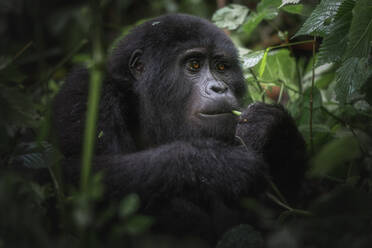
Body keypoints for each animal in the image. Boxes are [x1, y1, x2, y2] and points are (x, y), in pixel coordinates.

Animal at [53, 14, 306, 244]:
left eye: (221, 67)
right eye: (194, 65)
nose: (219, 88)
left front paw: (275, 130)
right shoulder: (83, 92)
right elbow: (73, 177)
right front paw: (216, 165)